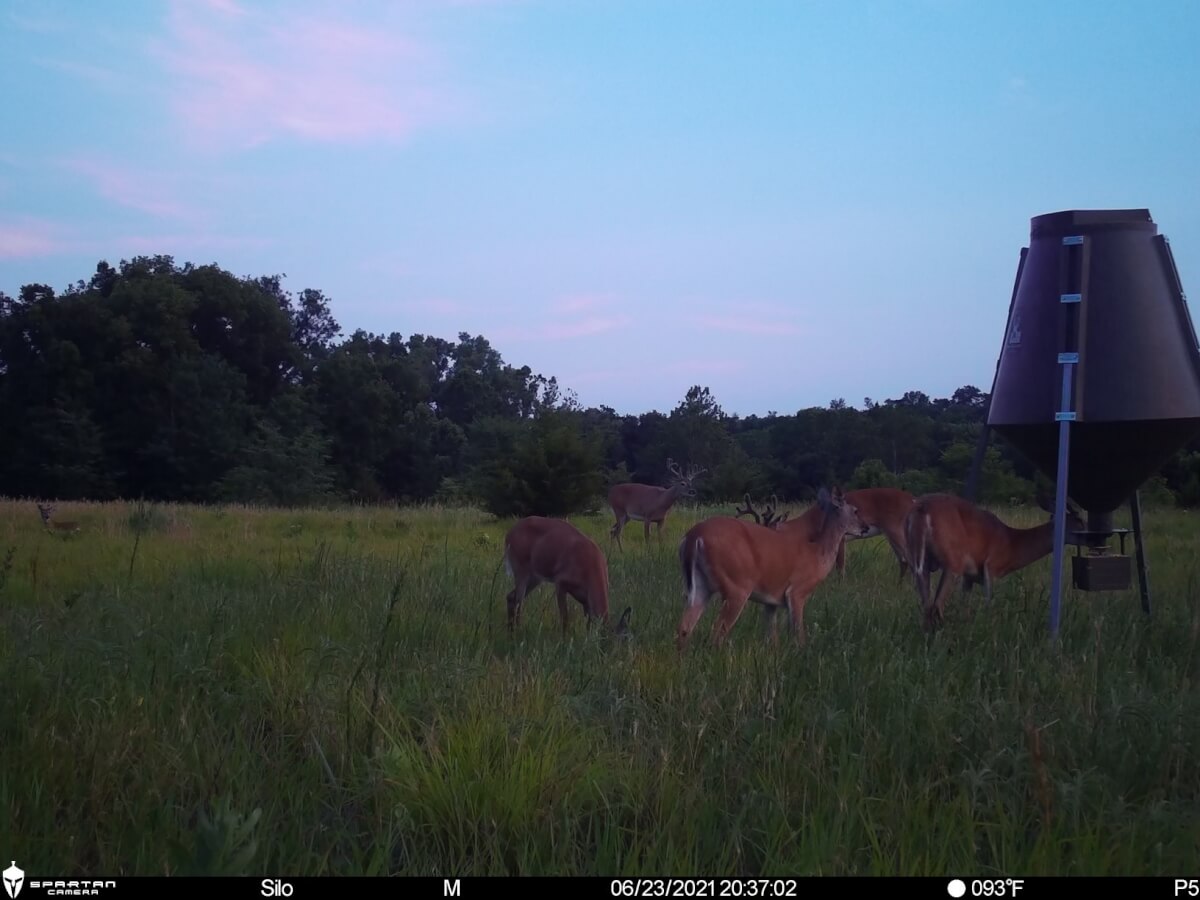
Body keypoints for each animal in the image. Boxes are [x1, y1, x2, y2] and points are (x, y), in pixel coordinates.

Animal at [503, 515, 632, 638]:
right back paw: (516, 632)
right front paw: (564, 640)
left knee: (511, 597)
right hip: (521, 569)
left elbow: (588, 624)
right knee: (518, 601)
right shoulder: (560, 581)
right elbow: (565, 617)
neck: (590, 569)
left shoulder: (586, 600)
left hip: (535, 577)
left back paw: (511, 632)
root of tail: (509, 534)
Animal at [675, 485, 871, 652]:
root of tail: (694, 536)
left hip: (700, 586)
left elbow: (772, 638)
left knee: (684, 628)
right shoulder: (797, 591)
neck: (817, 553)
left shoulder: (771, 601)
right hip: (737, 585)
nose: (866, 527)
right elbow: (798, 634)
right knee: (717, 632)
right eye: (855, 510)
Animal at [904, 489, 1086, 632]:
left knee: (927, 605)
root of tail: (921, 508)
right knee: (936, 605)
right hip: (953, 560)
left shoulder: (969, 577)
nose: (1089, 536)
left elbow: (965, 607)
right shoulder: (992, 567)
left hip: (921, 562)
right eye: (1079, 521)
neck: (1011, 544)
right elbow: (988, 605)